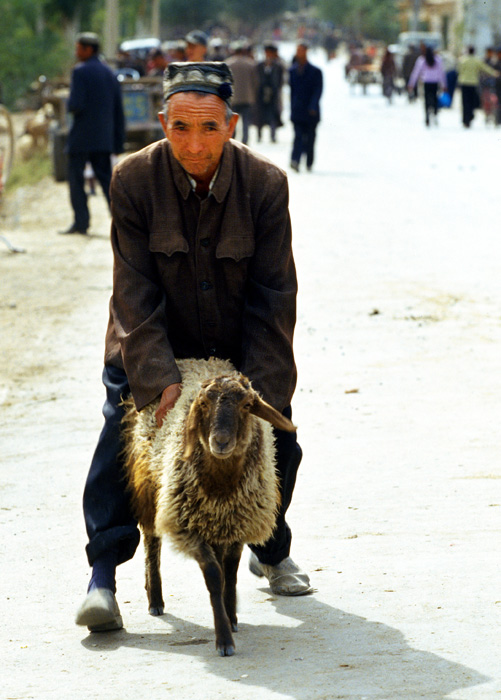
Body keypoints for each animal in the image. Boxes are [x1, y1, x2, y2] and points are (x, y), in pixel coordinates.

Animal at [121, 356, 294, 656]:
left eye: (246, 405)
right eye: (203, 404)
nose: (220, 441)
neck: (221, 487)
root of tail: (195, 359)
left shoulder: (238, 524)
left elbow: (230, 572)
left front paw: (230, 615)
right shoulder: (189, 528)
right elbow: (214, 576)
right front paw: (223, 639)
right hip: (150, 485)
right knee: (152, 541)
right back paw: (155, 599)